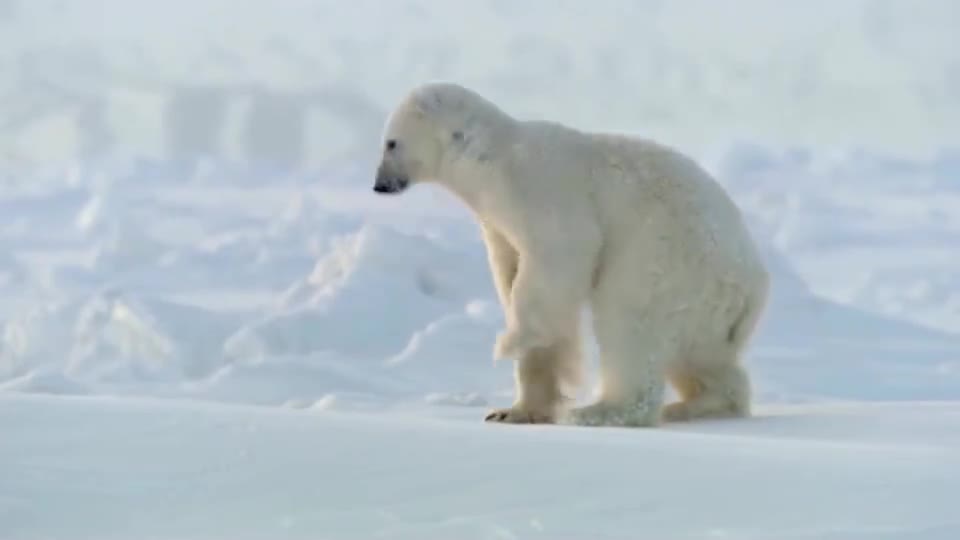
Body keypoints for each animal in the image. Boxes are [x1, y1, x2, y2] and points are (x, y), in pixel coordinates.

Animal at [372, 82, 768, 428]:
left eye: (391, 142)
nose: (380, 184)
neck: (489, 158)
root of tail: (753, 283)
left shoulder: (541, 189)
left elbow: (558, 258)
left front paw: (510, 341)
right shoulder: (497, 225)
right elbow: (514, 276)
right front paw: (512, 411)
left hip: (667, 258)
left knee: (630, 320)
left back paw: (601, 411)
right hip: (708, 306)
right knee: (703, 354)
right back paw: (701, 402)